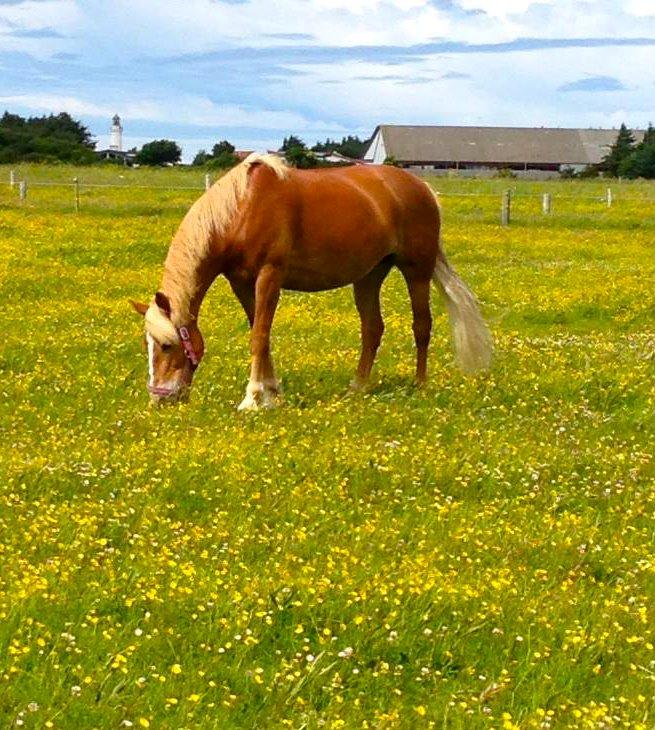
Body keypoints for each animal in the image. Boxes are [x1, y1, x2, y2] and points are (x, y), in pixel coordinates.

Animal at [132, 152, 492, 410]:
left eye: (166, 345)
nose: (160, 398)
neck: (242, 208)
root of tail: (423, 188)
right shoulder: (242, 283)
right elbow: (261, 335)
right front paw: (272, 394)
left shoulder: (269, 276)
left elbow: (258, 337)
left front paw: (252, 399)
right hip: (369, 276)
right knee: (373, 329)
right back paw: (357, 387)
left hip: (416, 269)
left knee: (422, 325)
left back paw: (419, 385)